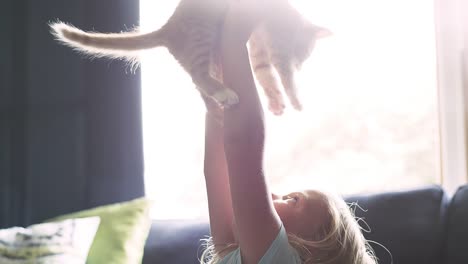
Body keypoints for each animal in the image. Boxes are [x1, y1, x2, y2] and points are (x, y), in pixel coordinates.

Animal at [50, 0, 330, 112]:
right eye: (306, 53)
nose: (302, 65)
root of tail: (168, 27)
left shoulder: (259, 48)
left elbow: (265, 74)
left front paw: (276, 102)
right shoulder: (277, 42)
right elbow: (284, 74)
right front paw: (296, 101)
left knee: (201, 80)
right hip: (203, 35)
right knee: (198, 75)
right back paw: (223, 93)